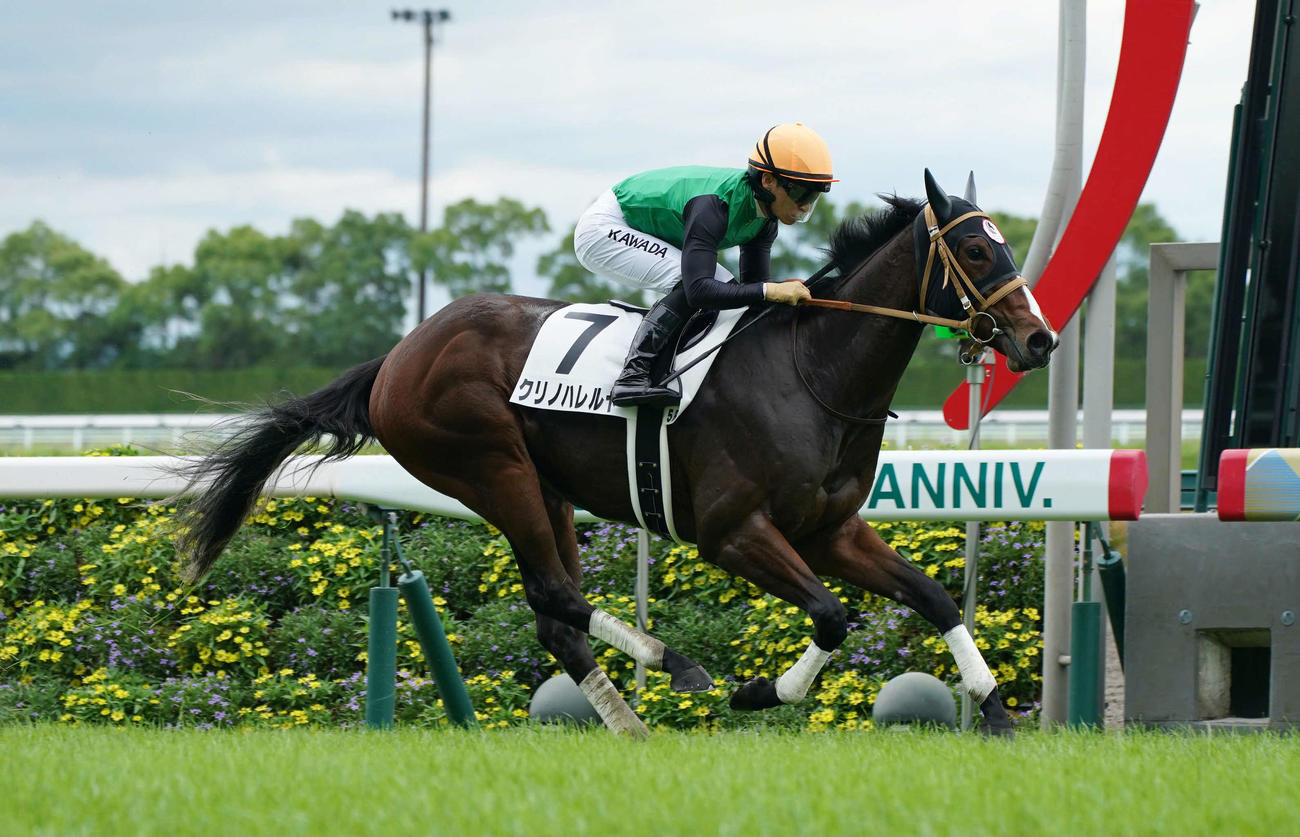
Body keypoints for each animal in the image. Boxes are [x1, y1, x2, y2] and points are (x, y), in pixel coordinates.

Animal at [172, 170, 1057, 737]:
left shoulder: (830, 530)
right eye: (976, 252)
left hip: (546, 487)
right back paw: (677, 665)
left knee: (554, 616)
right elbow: (835, 616)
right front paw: (757, 690)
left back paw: (632, 725)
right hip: (491, 466)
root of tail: (395, 357)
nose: (1039, 339)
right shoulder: (732, 533)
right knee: (556, 593)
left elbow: (934, 597)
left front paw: (996, 711)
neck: (811, 372)